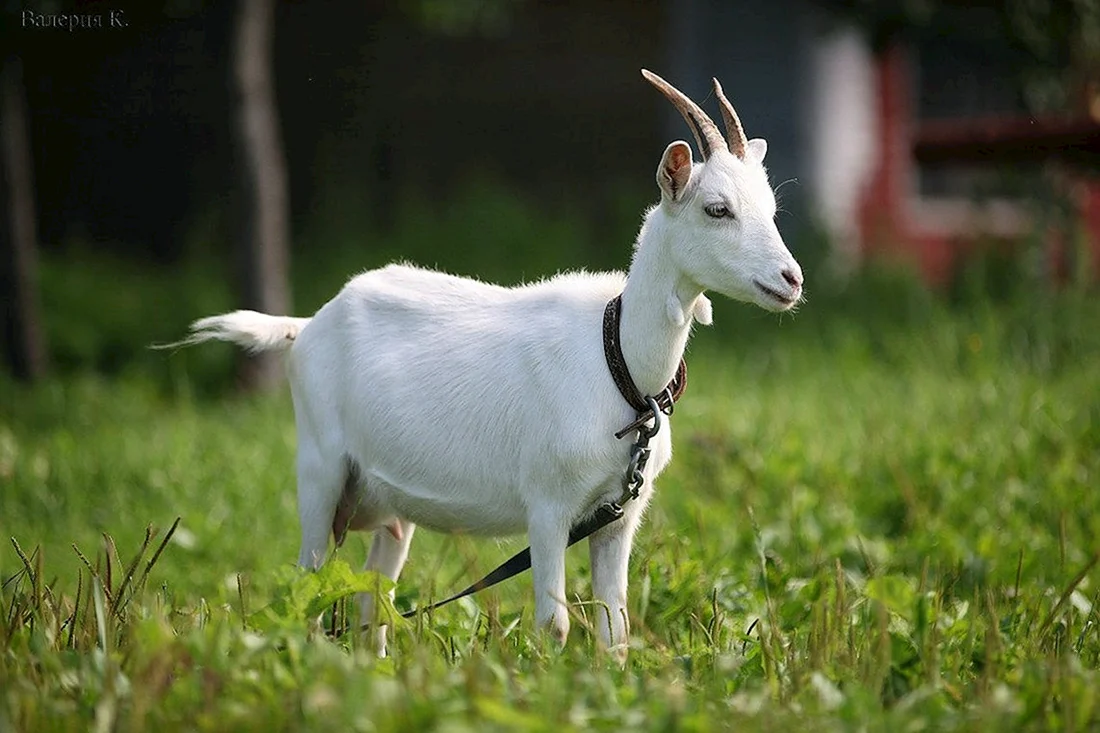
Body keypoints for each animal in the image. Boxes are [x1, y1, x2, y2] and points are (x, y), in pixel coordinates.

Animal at [170, 70, 803, 659]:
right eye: (717, 209)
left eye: (772, 209)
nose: (791, 279)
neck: (618, 361)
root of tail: (305, 326)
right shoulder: (548, 506)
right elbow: (555, 624)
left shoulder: (619, 516)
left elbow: (614, 631)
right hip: (319, 470)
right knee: (308, 580)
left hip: (387, 505)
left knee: (375, 596)